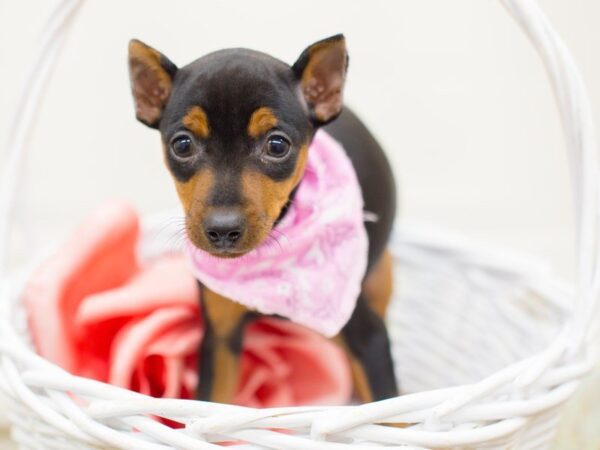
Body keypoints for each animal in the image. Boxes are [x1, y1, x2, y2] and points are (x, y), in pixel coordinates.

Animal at [127, 33, 398, 402]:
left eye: (277, 145)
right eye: (182, 145)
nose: (222, 230)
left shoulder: (370, 339)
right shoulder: (219, 339)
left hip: (381, 276)